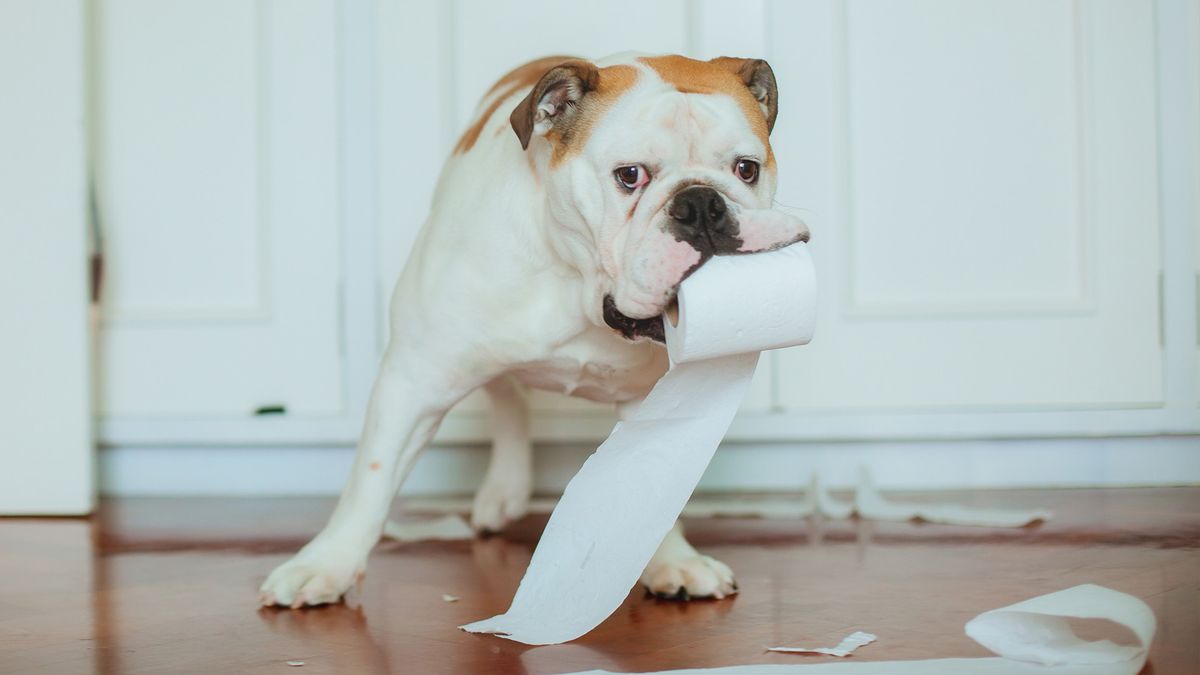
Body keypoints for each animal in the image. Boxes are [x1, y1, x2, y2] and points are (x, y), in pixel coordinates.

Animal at [261, 53, 806, 605]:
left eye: (746, 169)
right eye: (629, 175)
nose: (702, 205)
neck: (579, 284)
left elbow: (652, 483)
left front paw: (672, 559)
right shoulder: (414, 379)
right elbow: (370, 481)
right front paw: (326, 563)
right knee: (504, 393)